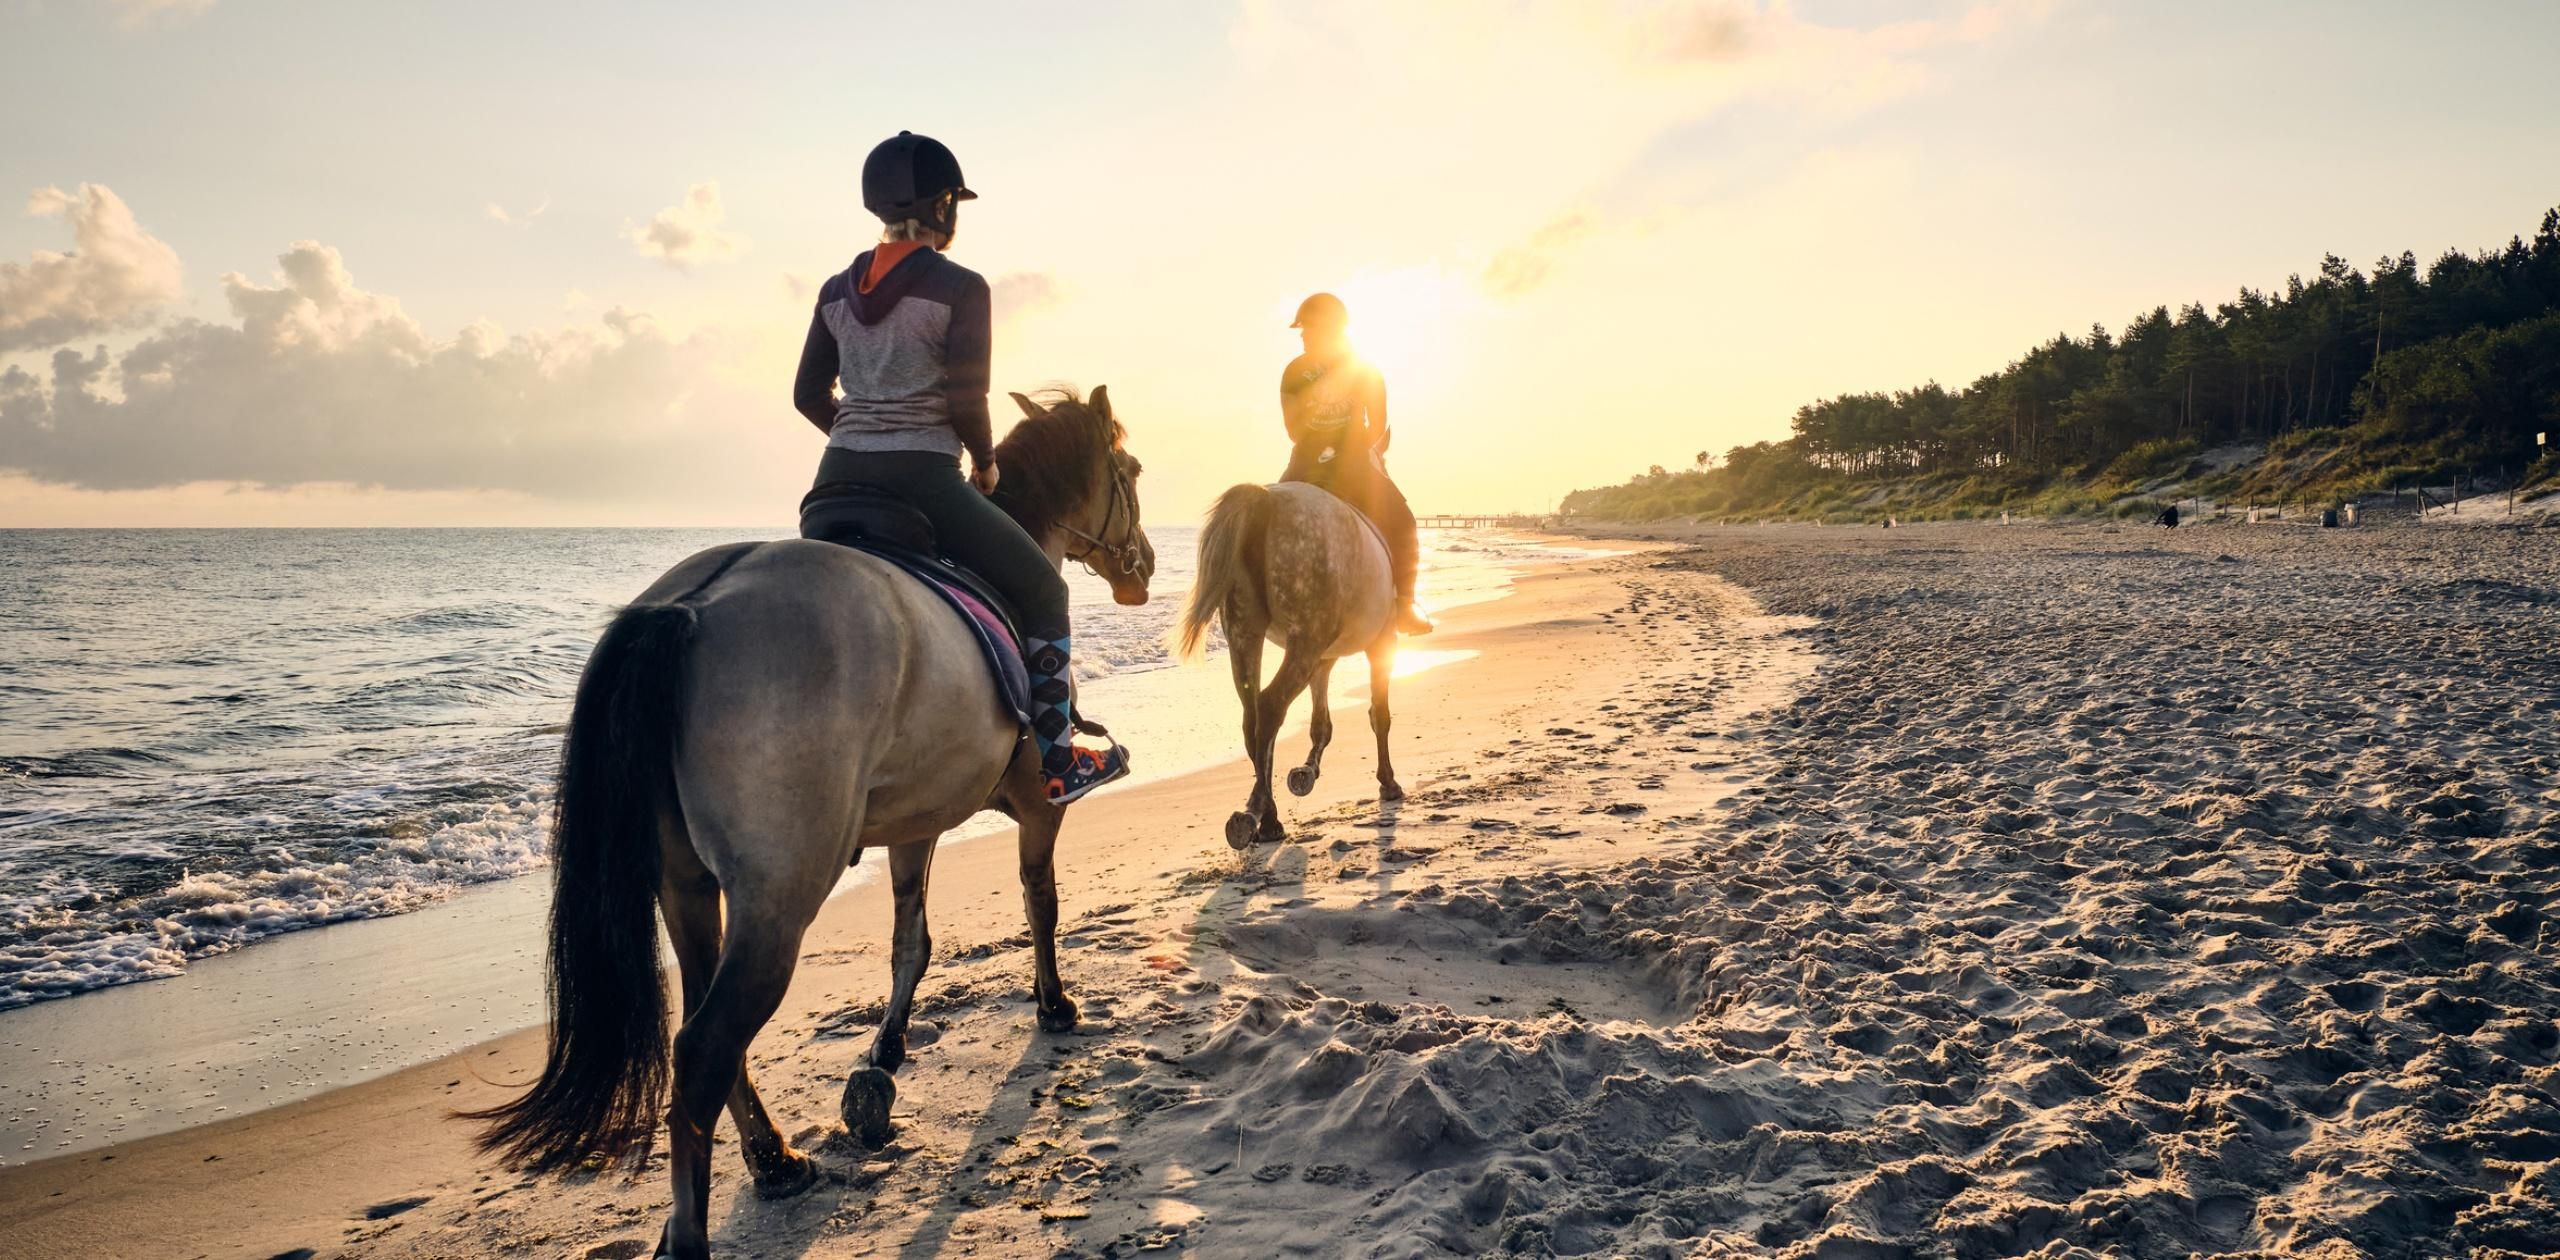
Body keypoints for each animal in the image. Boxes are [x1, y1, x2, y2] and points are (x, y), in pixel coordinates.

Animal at [476, 389, 1157, 1254]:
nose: (1144, 566)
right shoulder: (1039, 809)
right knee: (705, 1045)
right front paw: (1054, 1004)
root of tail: (691, 604)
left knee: (705, 1029)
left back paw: (774, 1158)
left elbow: (911, 939)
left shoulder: (913, 824)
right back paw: (709, 1215)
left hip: (685, 887)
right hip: (778, 897)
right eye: (1130, 469)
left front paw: (889, 1047)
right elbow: (1041, 902)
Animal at [1172, 476, 1402, 850]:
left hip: (1245, 634)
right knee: (1270, 707)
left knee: (1251, 717)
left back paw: (1264, 815)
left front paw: (1307, 772)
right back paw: (1261, 817)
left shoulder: (1324, 656)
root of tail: (1265, 499)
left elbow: (1321, 722)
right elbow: (1379, 715)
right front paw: (1388, 782)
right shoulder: (1380, 643)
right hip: (1302, 641)